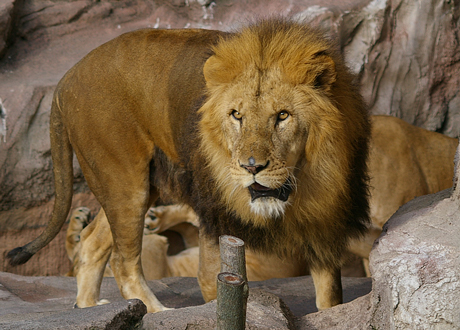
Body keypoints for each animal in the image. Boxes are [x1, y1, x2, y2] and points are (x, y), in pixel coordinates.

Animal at [8, 19, 370, 314]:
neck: (300, 185)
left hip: (139, 184)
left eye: (282, 115)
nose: (251, 167)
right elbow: (211, 280)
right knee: (123, 262)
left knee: (92, 243)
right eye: (236, 115)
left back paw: (88, 306)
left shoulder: (325, 221)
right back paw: (157, 312)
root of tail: (65, 80)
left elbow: (330, 294)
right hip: (125, 180)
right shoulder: (215, 215)